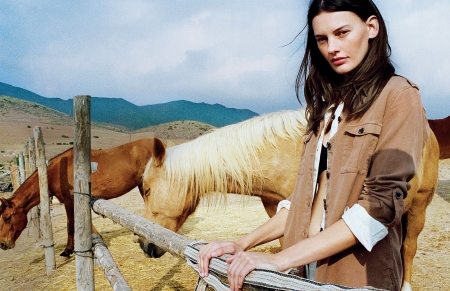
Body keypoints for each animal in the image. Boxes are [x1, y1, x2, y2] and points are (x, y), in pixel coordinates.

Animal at [0, 139, 156, 258]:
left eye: (7, 218)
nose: (2, 244)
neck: (57, 172)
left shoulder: (69, 201)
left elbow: (70, 225)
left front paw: (68, 250)